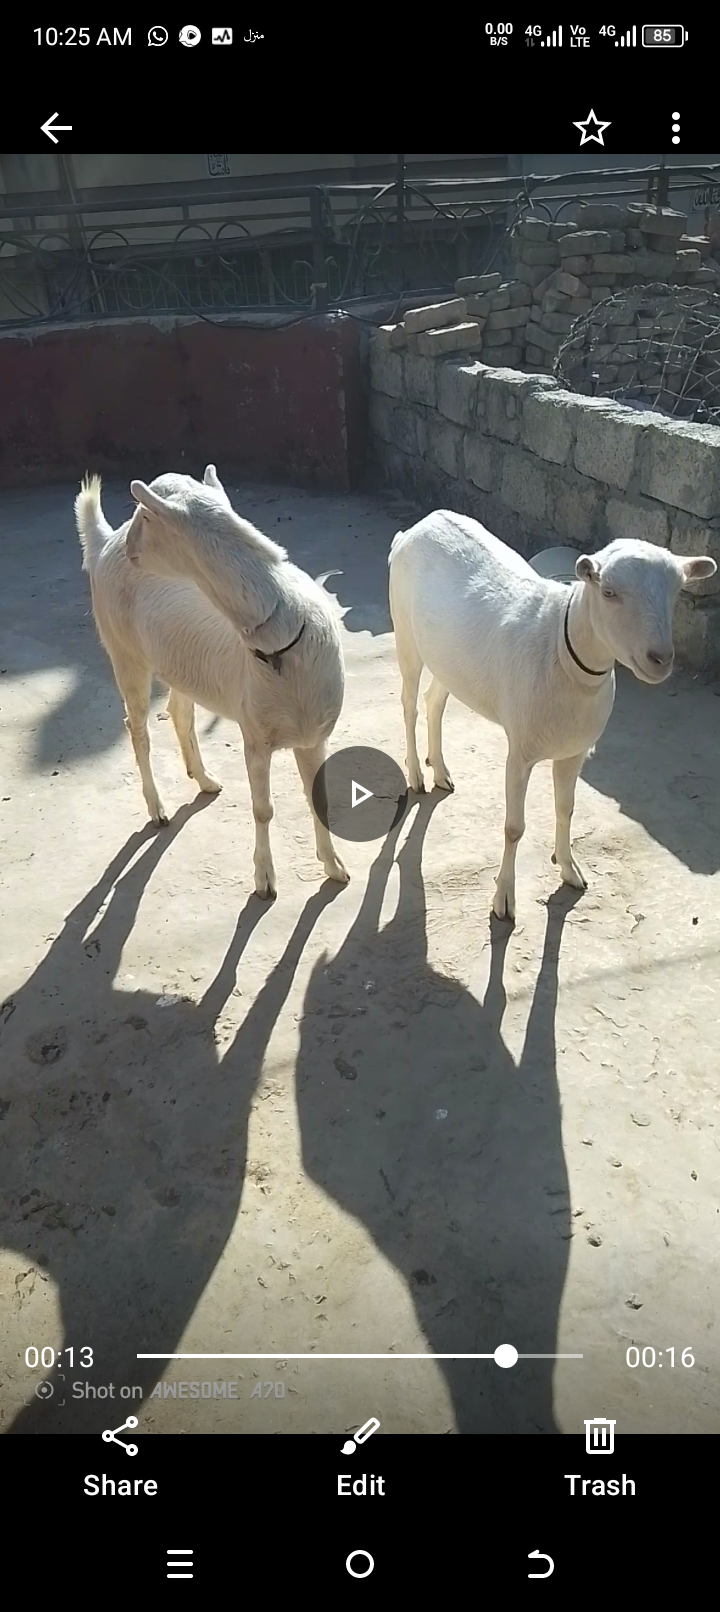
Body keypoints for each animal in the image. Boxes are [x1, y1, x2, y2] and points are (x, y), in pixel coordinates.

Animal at [75, 466, 349, 898]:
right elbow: (263, 809)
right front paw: (264, 879)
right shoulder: (255, 735)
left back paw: (204, 780)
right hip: (124, 651)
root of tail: (104, 542)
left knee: (178, 711)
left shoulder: (313, 734)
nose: (132, 549)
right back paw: (157, 809)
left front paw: (335, 867)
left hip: (180, 665)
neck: (283, 637)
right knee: (137, 728)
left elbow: (318, 797)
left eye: (146, 515)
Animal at [389, 510, 716, 920]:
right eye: (608, 592)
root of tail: (418, 526)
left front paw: (569, 869)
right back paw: (417, 774)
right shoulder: (520, 749)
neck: (561, 649)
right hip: (405, 633)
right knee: (409, 702)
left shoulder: (575, 750)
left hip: (448, 658)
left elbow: (567, 808)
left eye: (676, 592)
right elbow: (514, 827)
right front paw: (504, 900)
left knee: (434, 700)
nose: (660, 659)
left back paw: (441, 772)